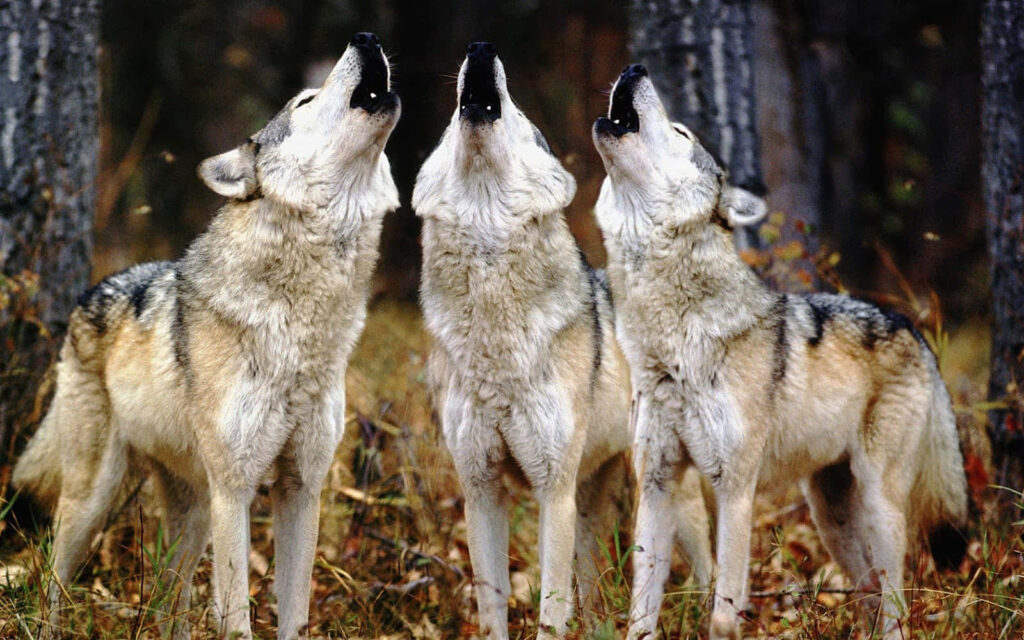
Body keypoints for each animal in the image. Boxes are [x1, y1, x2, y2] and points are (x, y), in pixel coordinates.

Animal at [12, 32, 400, 640]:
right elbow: (237, 617)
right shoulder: (234, 492)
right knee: (53, 579)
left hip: (191, 515)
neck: (301, 328)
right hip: (95, 499)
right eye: (306, 100)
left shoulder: (302, 489)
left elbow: (294, 614)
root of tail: (89, 291)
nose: (366, 39)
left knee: (166, 606)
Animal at [413, 44, 713, 639]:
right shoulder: (481, 491)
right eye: (447, 125)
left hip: (661, 494)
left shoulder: (553, 491)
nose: (480, 49)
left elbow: (550, 611)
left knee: (709, 569)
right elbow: (492, 608)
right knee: (595, 597)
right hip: (592, 502)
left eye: (521, 115)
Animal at [591, 64, 969, 640]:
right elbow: (641, 612)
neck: (671, 344)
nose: (635, 69)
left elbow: (724, 613)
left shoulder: (735, 489)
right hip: (830, 515)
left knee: (896, 606)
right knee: (867, 593)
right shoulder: (657, 483)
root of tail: (912, 327)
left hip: (880, 505)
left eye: (681, 132)